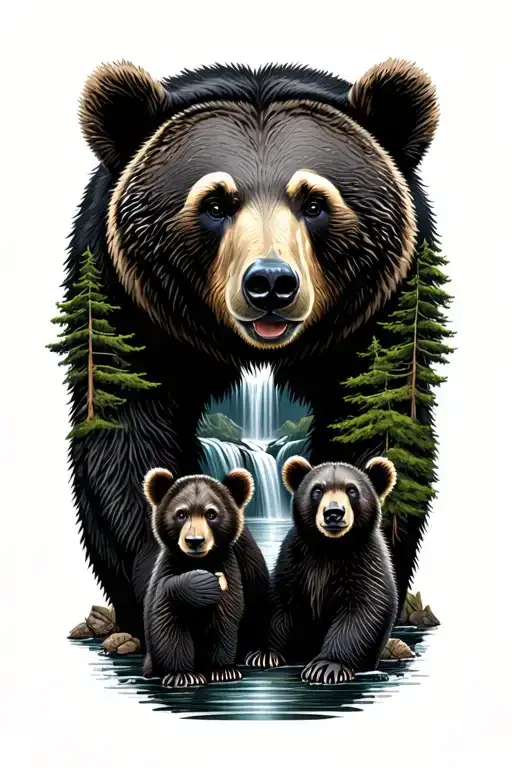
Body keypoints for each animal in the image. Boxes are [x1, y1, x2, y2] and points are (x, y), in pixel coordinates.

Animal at [63, 57, 440, 647]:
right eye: (215, 202)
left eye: (314, 201)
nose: (270, 284)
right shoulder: (129, 305)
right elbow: (125, 440)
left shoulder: (381, 311)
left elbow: (382, 430)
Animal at [142, 467, 253, 686]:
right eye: (181, 513)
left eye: (211, 513)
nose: (195, 541)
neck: (198, 562)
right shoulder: (168, 569)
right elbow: (167, 620)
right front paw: (182, 675)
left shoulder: (228, 572)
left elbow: (224, 619)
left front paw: (223, 670)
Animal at [264, 455, 398, 684]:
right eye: (317, 490)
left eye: (352, 490)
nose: (334, 513)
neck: (330, 548)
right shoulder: (295, 560)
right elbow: (281, 601)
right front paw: (265, 653)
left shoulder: (366, 562)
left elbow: (363, 610)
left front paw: (326, 666)